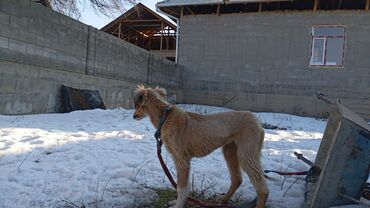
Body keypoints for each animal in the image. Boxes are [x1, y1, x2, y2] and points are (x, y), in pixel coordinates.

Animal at [133, 85, 268, 208]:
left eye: (138, 105)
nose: (134, 116)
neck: (165, 117)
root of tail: (257, 121)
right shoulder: (180, 160)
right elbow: (183, 186)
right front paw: (177, 202)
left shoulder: (182, 160)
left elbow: (181, 187)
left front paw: (178, 205)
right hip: (230, 151)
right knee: (237, 179)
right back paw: (222, 201)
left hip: (246, 155)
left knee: (262, 189)